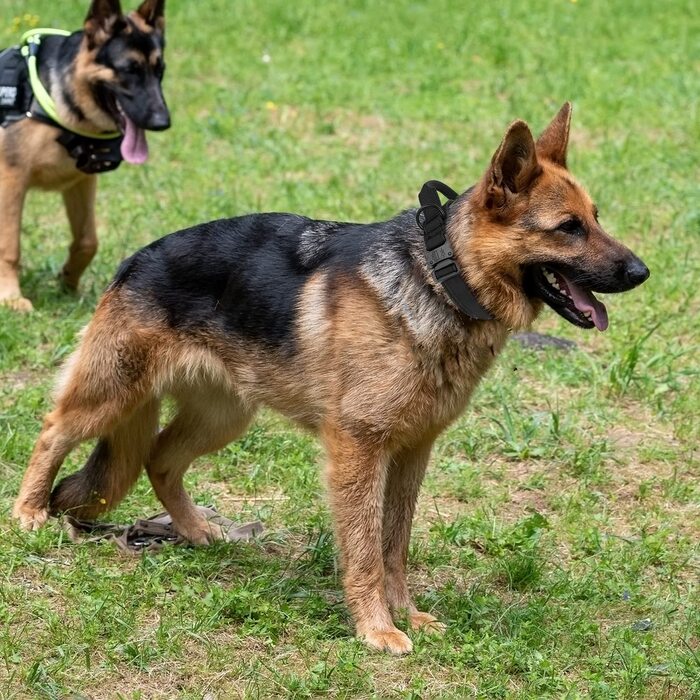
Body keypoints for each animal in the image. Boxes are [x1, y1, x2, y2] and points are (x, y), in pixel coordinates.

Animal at [0, 0, 169, 312]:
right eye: (129, 69)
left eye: (159, 69)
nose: (162, 121)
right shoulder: (11, 181)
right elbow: (9, 246)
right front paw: (11, 297)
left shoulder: (80, 181)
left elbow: (88, 240)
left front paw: (68, 282)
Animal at [15, 105, 652, 656]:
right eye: (568, 228)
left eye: (597, 219)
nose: (642, 271)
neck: (441, 279)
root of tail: (134, 261)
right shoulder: (359, 450)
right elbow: (366, 549)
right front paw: (377, 628)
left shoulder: (411, 453)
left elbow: (395, 545)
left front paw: (406, 614)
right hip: (111, 394)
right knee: (52, 432)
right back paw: (29, 514)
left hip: (224, 416)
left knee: (160, 458)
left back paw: (196, 531)